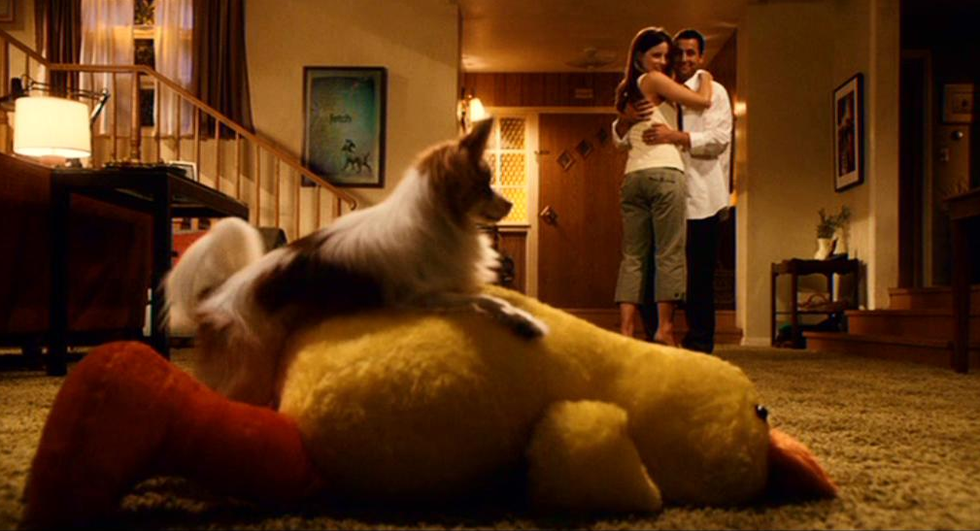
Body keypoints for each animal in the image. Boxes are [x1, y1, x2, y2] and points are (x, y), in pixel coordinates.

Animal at [166, 118, 548, 407]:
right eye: (485, 186)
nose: (510, 206)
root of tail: (214, 296)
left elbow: (485, 295)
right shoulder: (421, 296)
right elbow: (484, 299)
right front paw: (523, 320)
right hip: (250, 360)